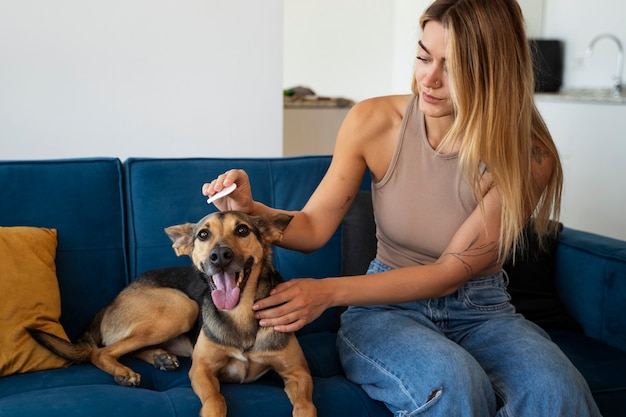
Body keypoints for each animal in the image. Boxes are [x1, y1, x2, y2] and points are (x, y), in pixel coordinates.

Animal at [163, 211, 314, 416]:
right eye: (203, 234)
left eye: (242, 230)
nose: (219, 256)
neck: (239, 311)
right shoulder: (201, 369)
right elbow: (216, 400)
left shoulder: (298, 373)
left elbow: (306, 406)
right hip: (185, 309)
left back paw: (160, 359)